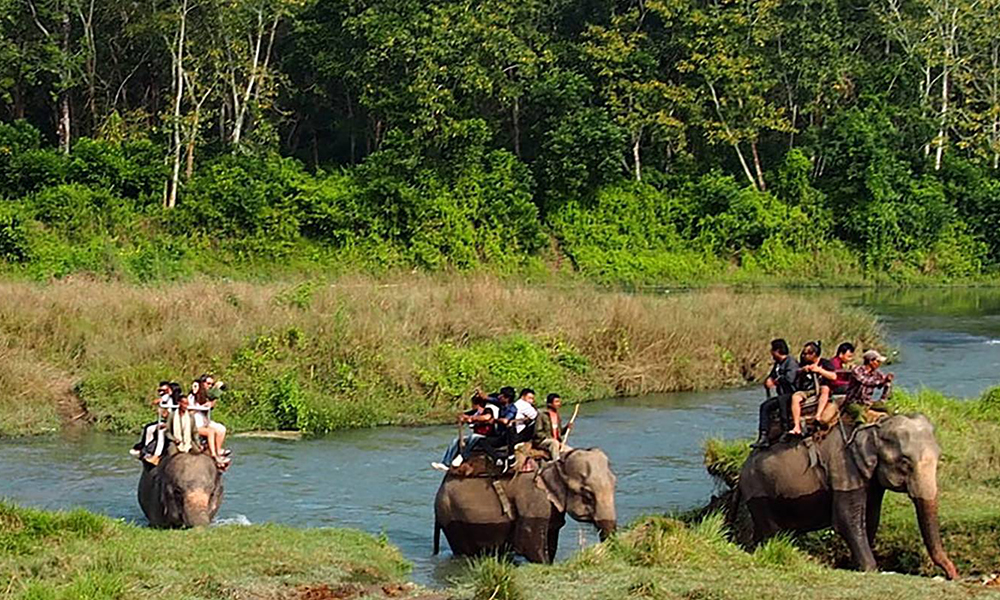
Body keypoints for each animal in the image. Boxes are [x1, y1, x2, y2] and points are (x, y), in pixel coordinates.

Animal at [432, 446, 612, 564]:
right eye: (587, 495)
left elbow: (552, 535)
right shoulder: (534, 496)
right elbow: (529, 542)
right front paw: (545, 563)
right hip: (452, 516)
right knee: (463, 549)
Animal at [740, 414, 956, 580]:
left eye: (939, 457)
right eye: (905, 462)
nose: (952, 575)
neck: (873, 427)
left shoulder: (871, 481)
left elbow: (871, 517)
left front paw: (856, 566)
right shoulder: (844, 467)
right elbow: (846, 519)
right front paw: (870, 569)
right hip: (757, 491)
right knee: (772, 530)